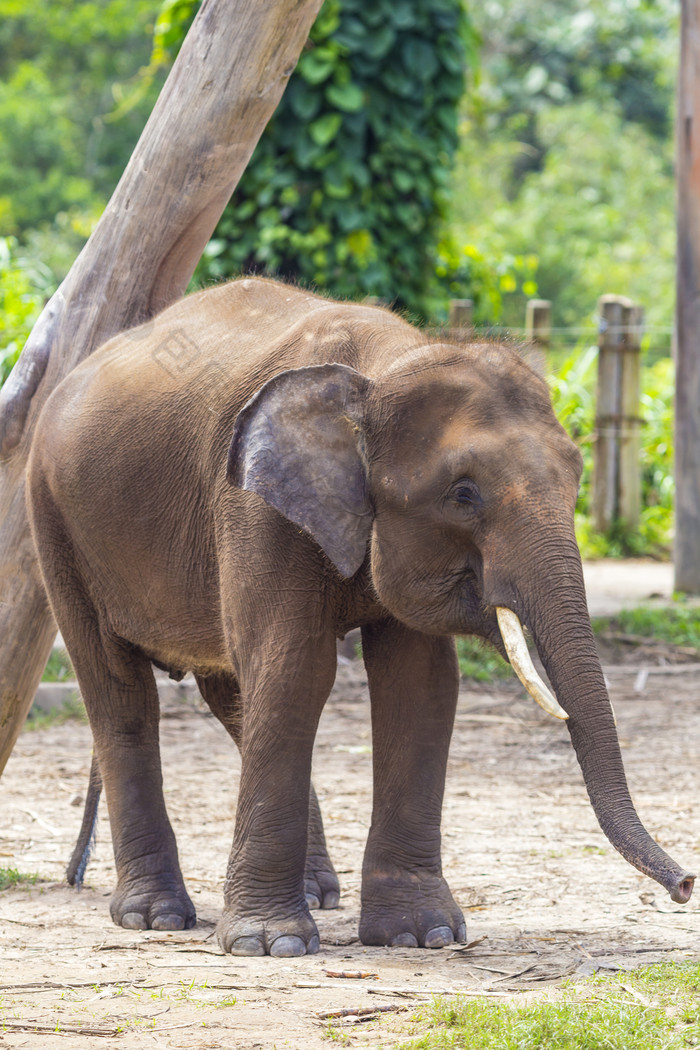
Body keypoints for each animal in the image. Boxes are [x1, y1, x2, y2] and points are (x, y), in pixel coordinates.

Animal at [26, 277, 694, 958]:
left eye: (577, 475)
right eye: (463, 494)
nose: (685, 885)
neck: (379, 368)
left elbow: (420, 684)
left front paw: (420, 936)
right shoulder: (253, 505)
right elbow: (297, 667)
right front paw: (271, 946)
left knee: (234, 693)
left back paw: (318, 892)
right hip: (53, 519)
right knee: (121, 693)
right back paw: (154, 916)